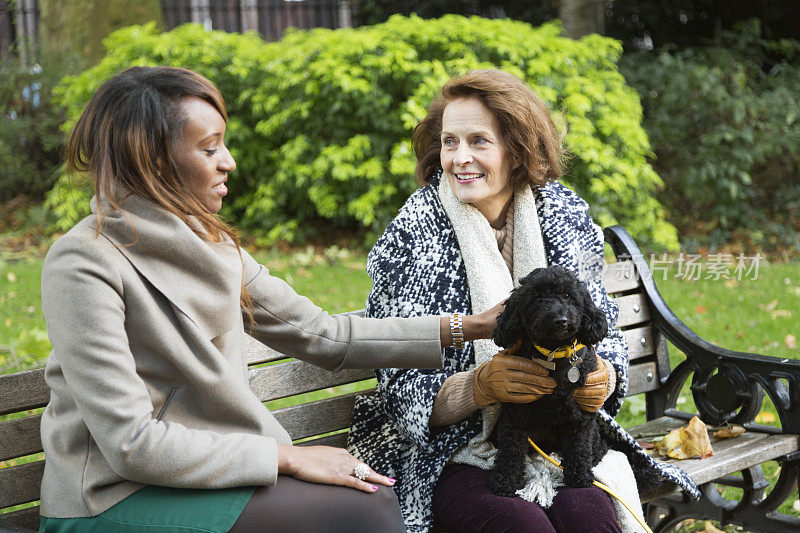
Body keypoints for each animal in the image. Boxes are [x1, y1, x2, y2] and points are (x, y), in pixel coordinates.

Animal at [490, 266, 608, 494]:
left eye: (567, 296)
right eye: (537, 299)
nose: (560, 320)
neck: (555, 354)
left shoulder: (580, 415)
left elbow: (580, 447)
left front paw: (580, 477)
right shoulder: (514, 412)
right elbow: (511, 450)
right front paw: (506, 481)